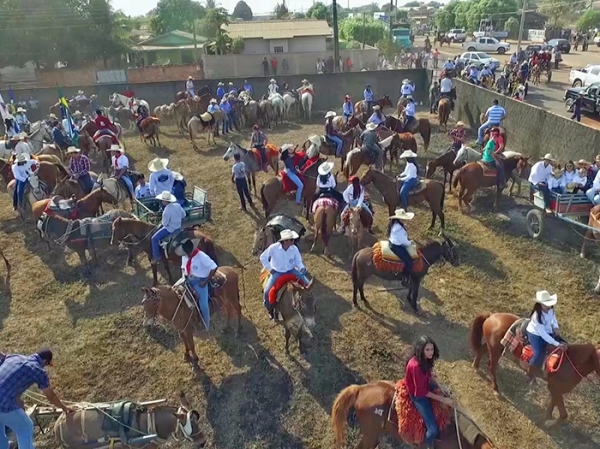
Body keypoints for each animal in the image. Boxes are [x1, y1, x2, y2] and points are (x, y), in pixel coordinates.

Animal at [468, 310, 600, 426]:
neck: (570, 361)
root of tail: (492, 315)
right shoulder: (554, 387)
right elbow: (563, 414)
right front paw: (549, 423)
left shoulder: (557, 389)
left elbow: (552, 405)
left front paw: (546, 418)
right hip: (495, 350)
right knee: (491, 367)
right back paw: (496, 390)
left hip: (494, 347)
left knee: (481, 351)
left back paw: (475, 366)